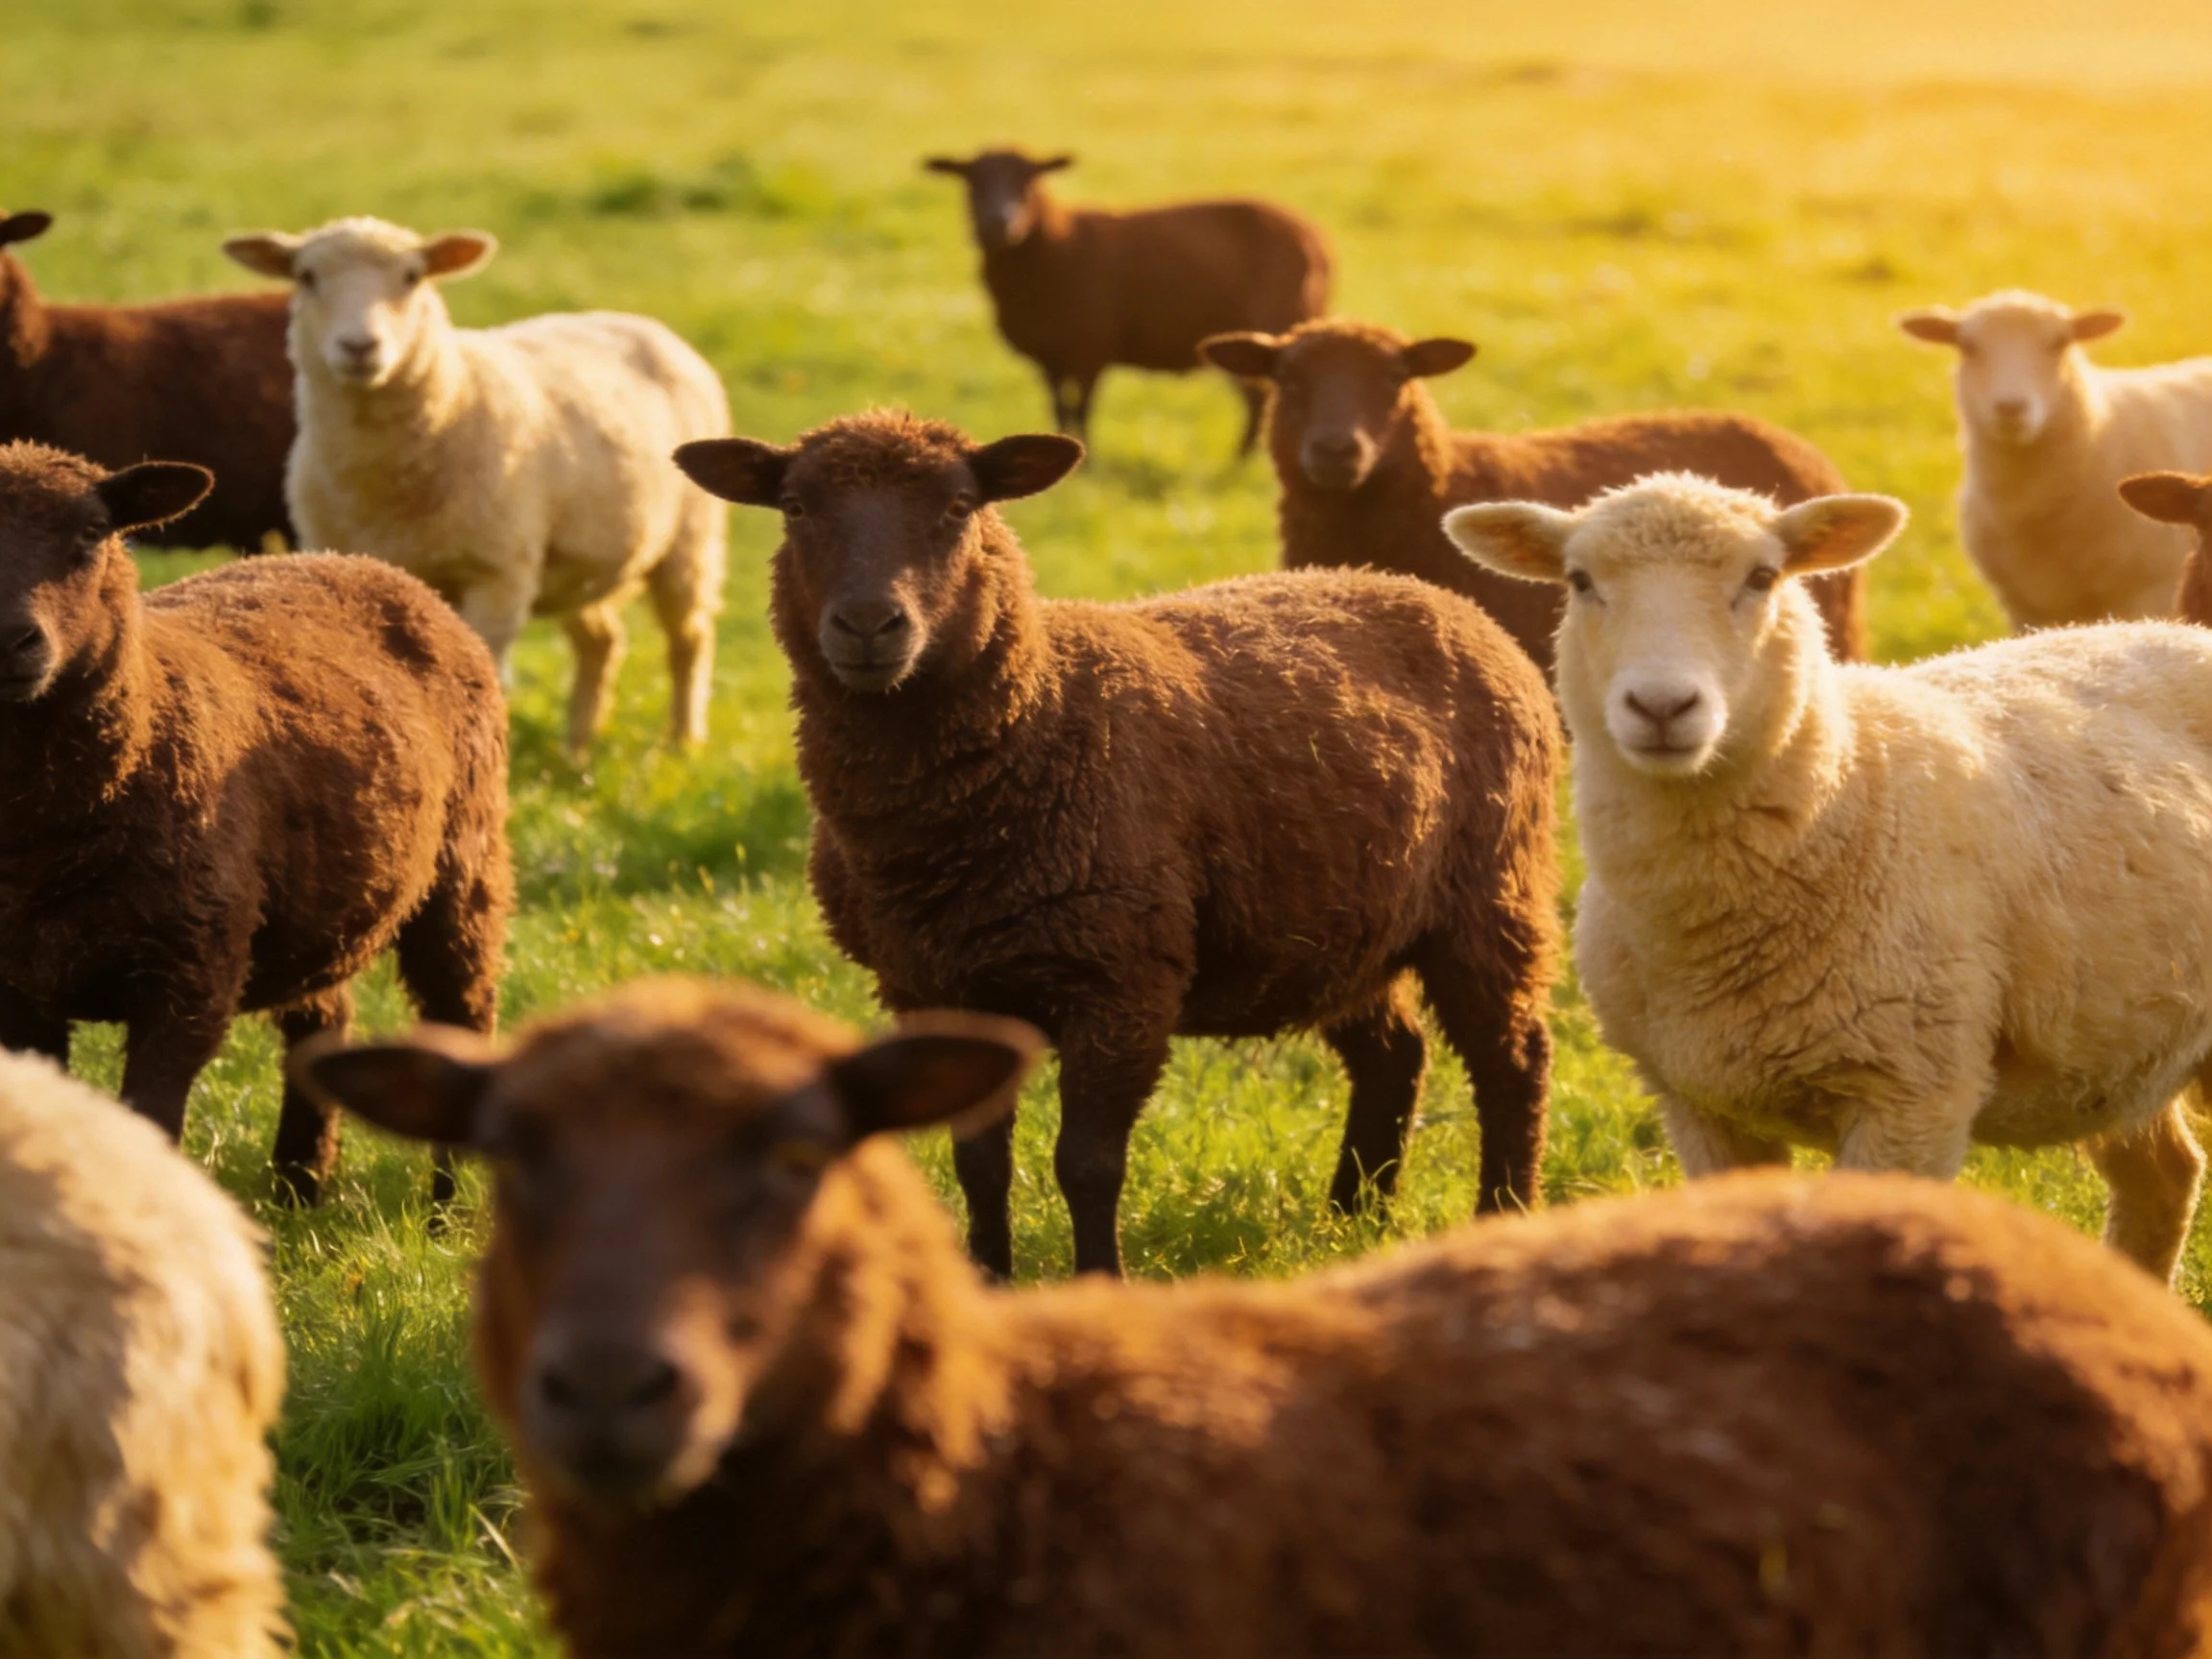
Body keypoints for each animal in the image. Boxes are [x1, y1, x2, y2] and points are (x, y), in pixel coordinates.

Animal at [0, 440, 511, 1202]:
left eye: (92, 534)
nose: (10, 640)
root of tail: (359, 562)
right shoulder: (20, 994)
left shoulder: (188, 981)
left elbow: (152, 1123)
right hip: (323, 901)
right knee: (323, 1021)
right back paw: (301, 1179)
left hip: (464, 870)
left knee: (464, 1013)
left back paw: (445, 1206)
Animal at [222, 216, 730, 756]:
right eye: (306, 276)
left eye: (412, 277)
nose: (360, 347)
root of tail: (638, 321)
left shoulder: (498, 572)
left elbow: (487, 679)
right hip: (583, 565)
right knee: (601, 643)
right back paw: (577, 751)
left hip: (691, 539)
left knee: (689, 638)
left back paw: (683, 743)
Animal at [672, 408, 1562, 1278]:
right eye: (795, 508)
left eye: (960, 508)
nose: (867, 625)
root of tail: (1437, 597)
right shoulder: (934, 986)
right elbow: (978, 1164)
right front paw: (988, 1279)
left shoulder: (1119, 982)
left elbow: (1086, 1165)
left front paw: (1098, 1280)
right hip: (1336, 925)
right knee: (1394, 1056)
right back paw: (1353, 1215)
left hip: (1492, 896)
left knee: (1513, 1058)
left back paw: (1502, 1211)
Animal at [922, 149, 1330, 456]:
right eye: (971, 179)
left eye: (1030, 178)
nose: (999, 223)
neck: (1057, 244)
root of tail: (1312, 233)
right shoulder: (1049, 359)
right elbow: (1060, 411)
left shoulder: (1090, 349)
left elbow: (1082, 410)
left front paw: (1088, 466)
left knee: (1262, 401)